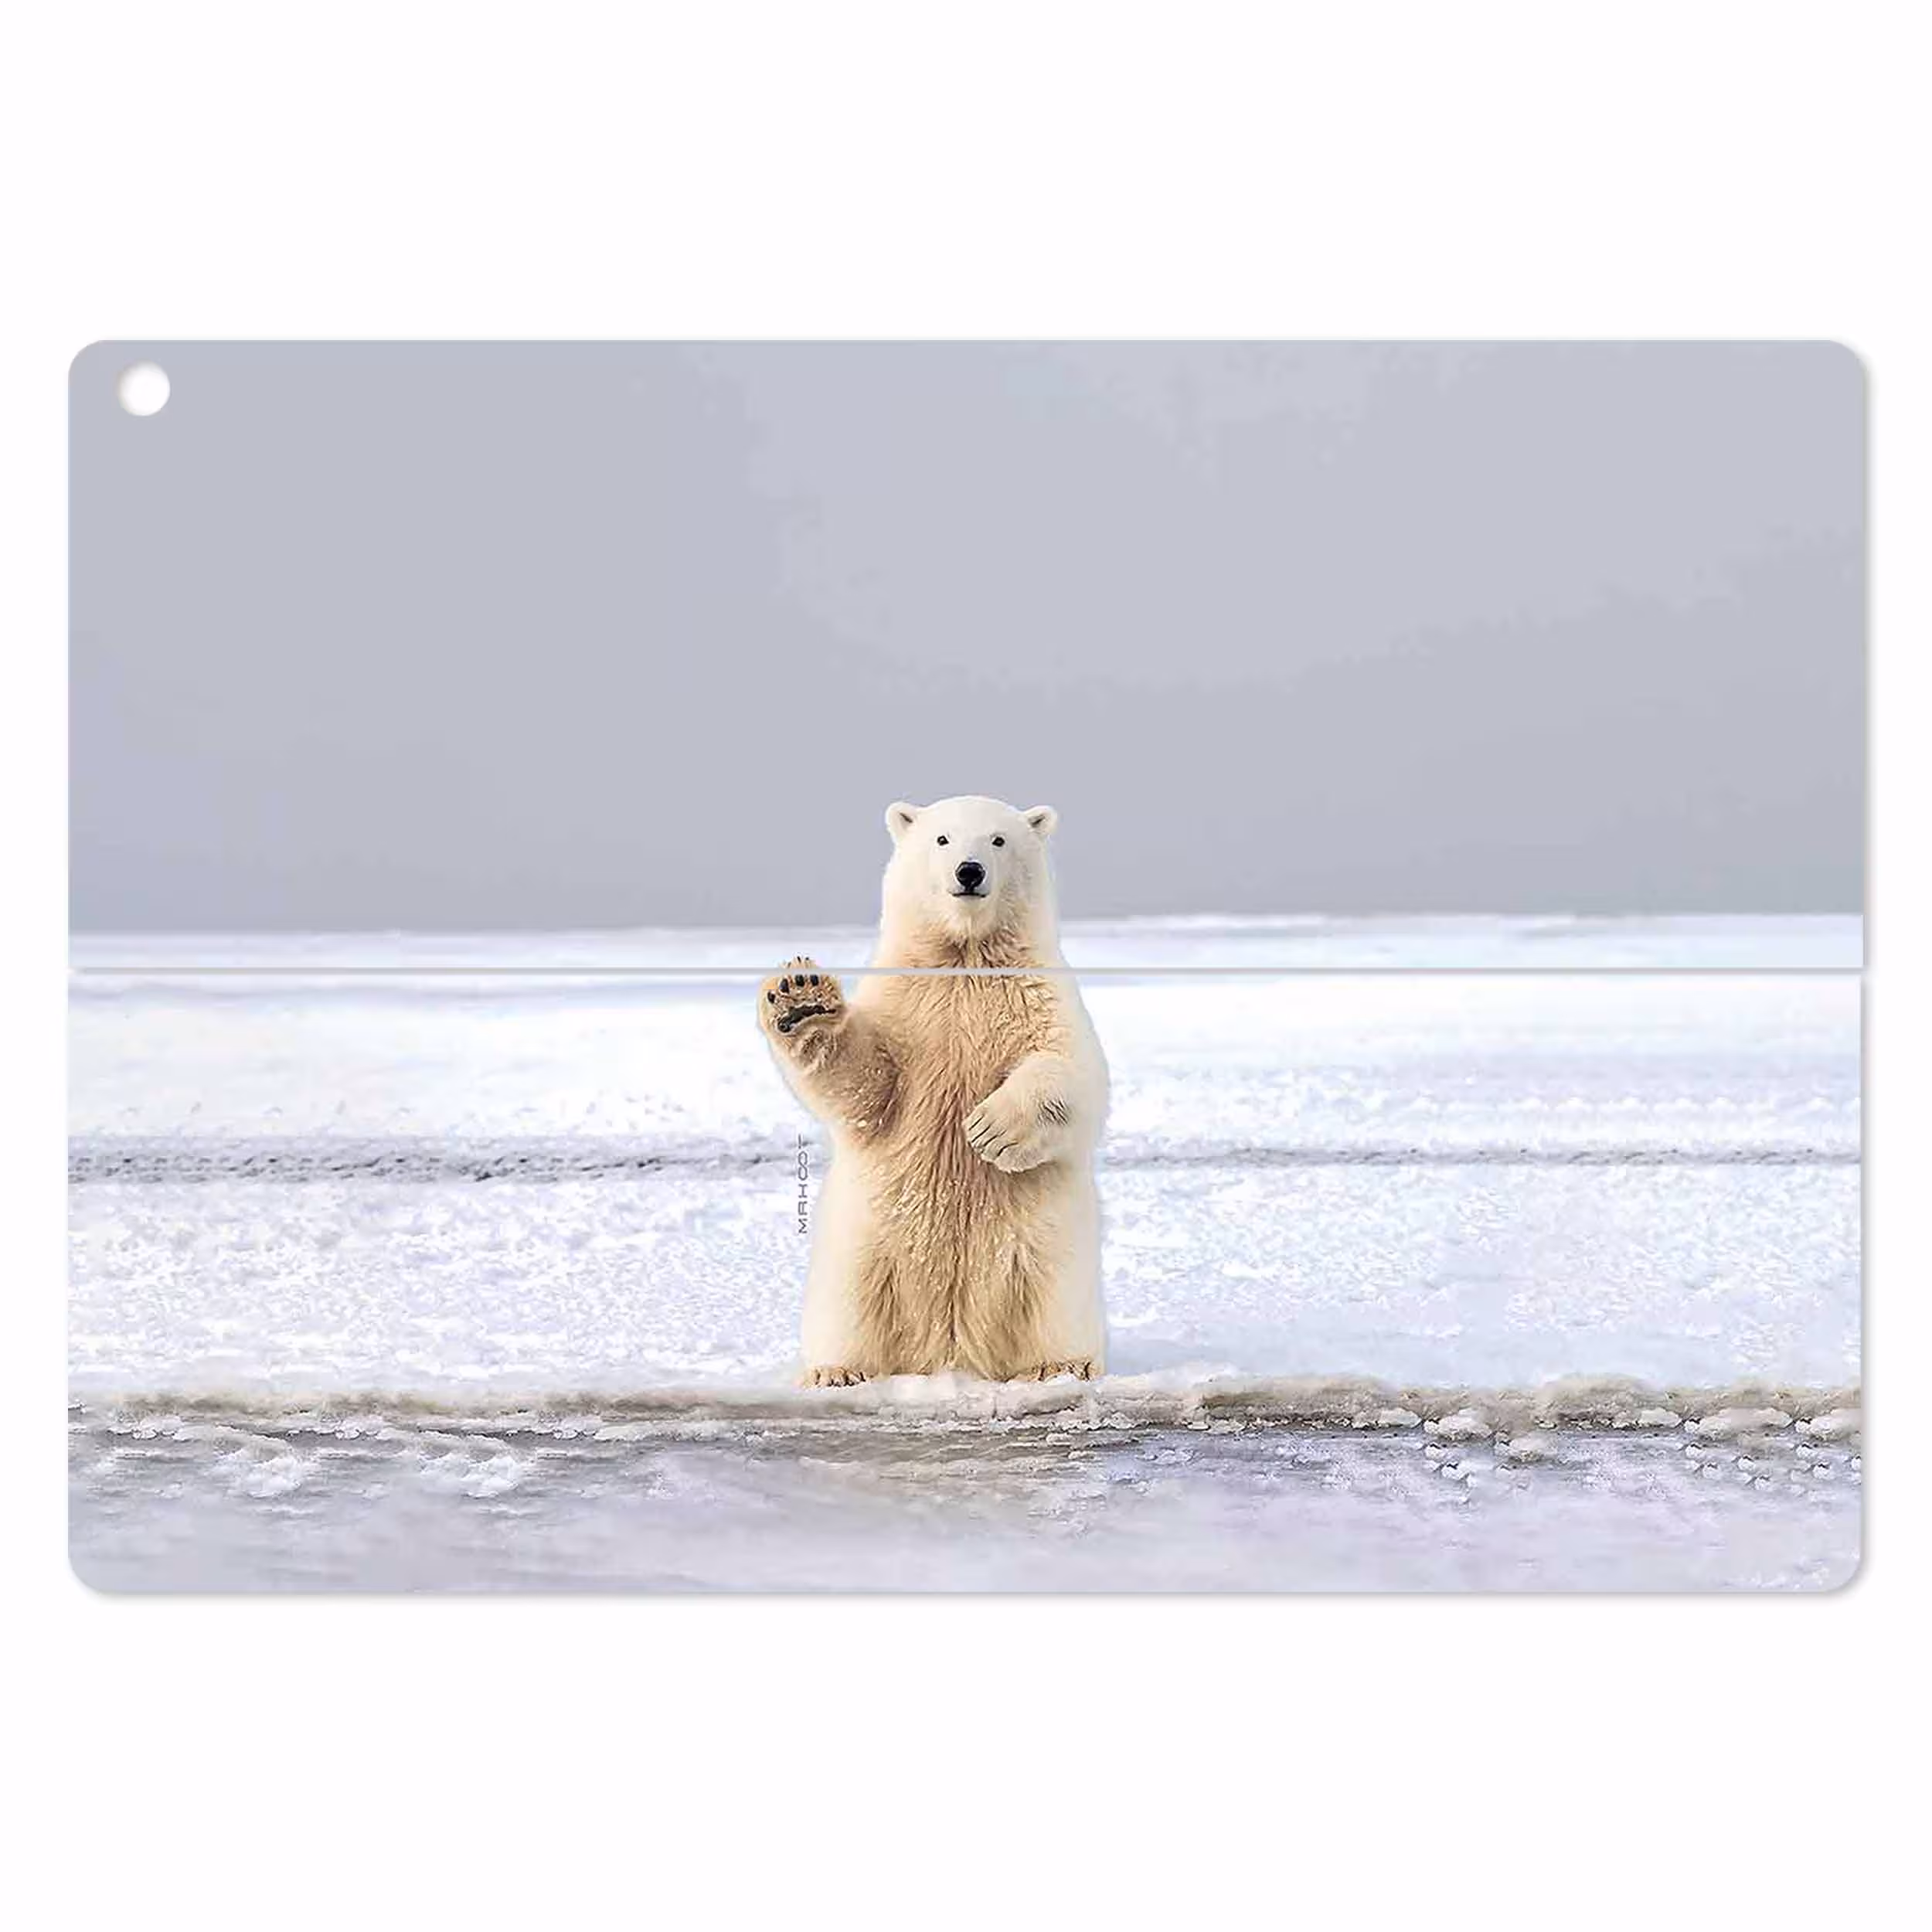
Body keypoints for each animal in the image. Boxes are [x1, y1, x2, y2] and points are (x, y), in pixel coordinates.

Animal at [758, 796, 1108, 1386]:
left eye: (998, 840)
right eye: (942, 839)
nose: (969, 872)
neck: (965, 957)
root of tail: (951, 1351)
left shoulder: (1041, 996)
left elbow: (1074, 1072)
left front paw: (990, 1129)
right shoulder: (906, 1005)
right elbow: (867, 1085)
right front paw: (800, 999)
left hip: (1048, 1250)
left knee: (1054, 1299)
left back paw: (1060, 1366)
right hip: (863, 1248)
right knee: (849, 1306)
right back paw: (837, 1371)